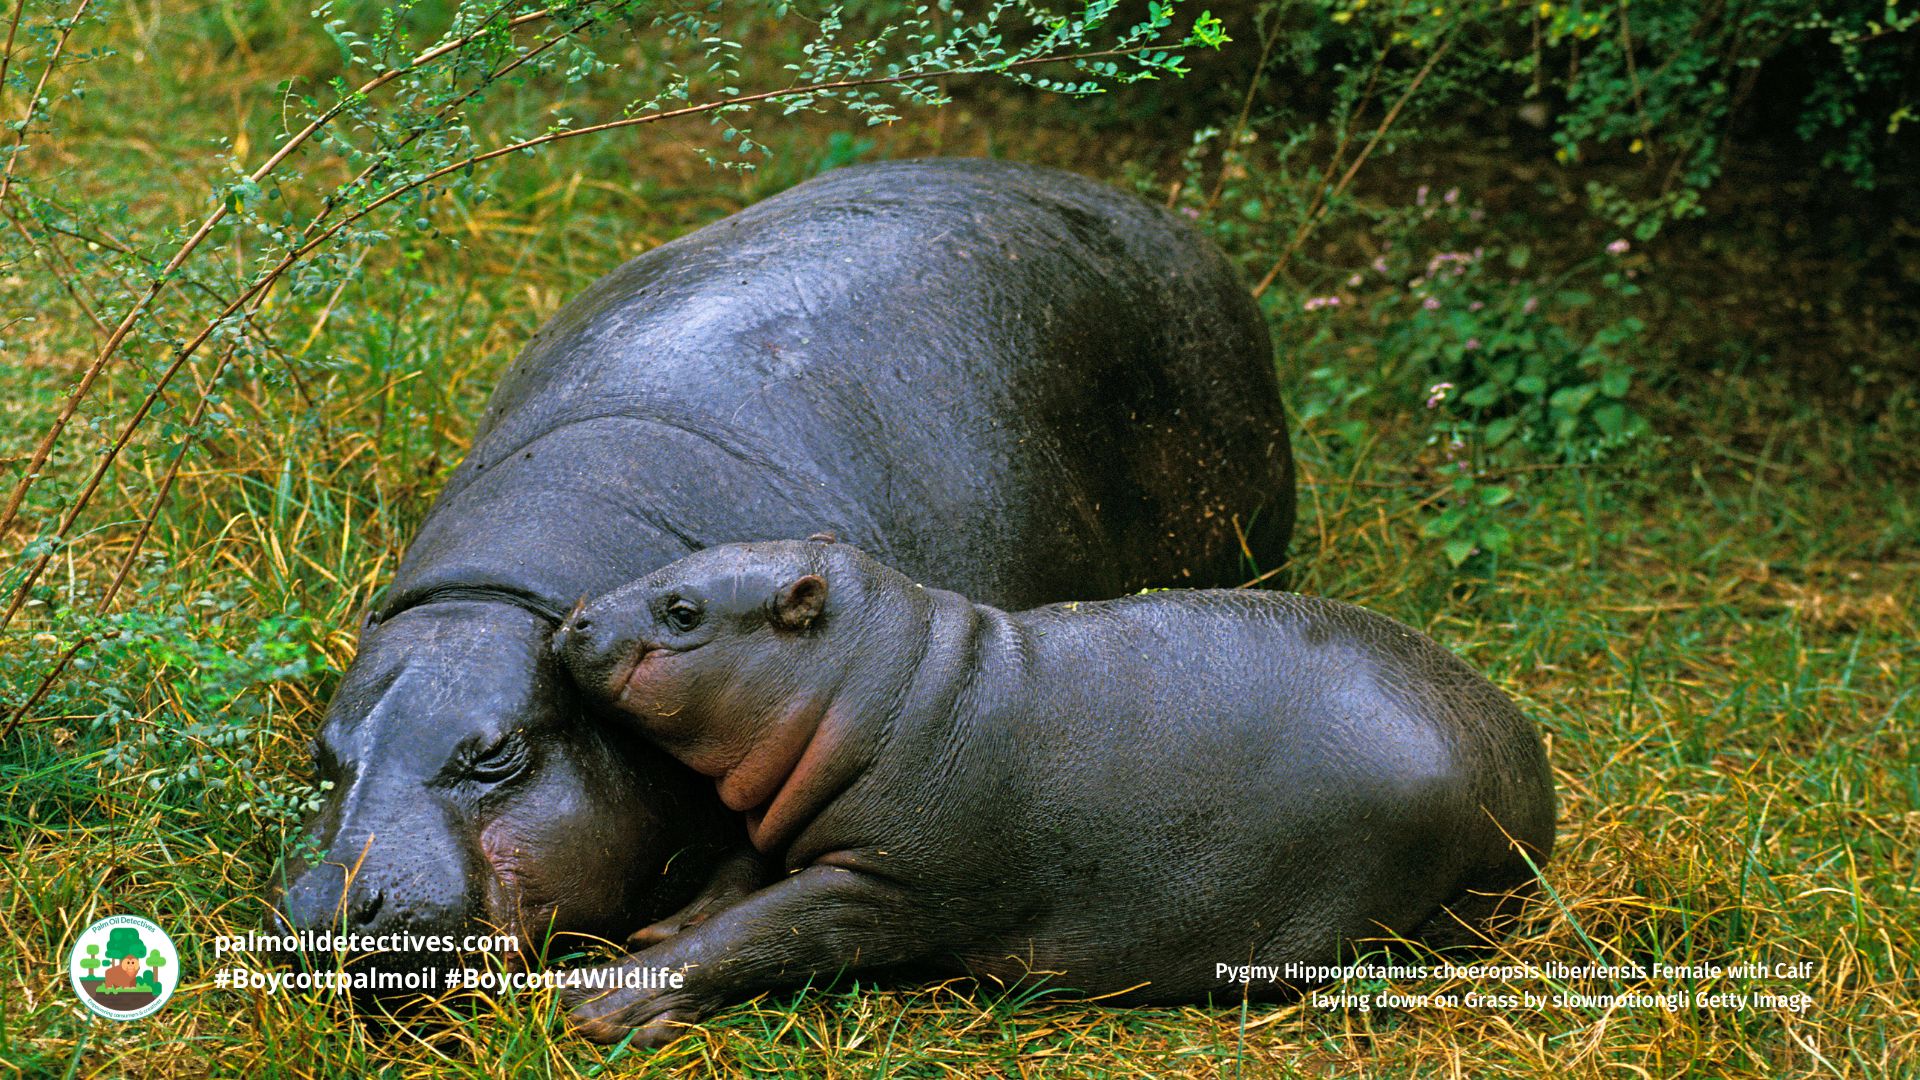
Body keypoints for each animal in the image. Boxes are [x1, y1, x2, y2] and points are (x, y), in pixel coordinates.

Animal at [551, 539, 1556, 1045]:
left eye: (684, 611)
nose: (575, 616)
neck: (887, 680)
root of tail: (1534, 789)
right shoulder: (784, 811)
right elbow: (734, 878)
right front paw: (657, 932)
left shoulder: (887, 886)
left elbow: (769, 929)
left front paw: (595, 999)